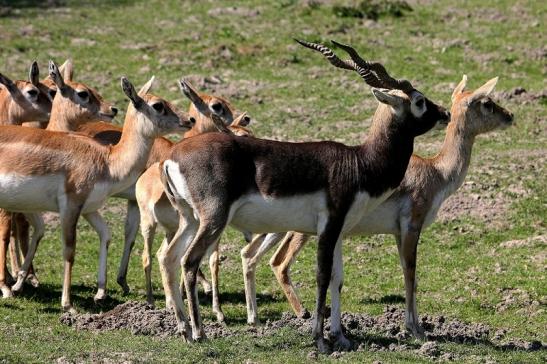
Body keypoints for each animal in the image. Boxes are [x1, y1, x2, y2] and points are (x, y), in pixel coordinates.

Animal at [0, 74, 194, 310]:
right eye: (158, 105)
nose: (189, 120)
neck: (107, 160)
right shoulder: (71, 207)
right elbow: (69, 251)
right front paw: (68, 304)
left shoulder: (89, 209)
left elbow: (107, 235)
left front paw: (100, 293)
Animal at [157, 39, 450, 350]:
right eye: (419, 100)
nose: (445, 113)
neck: (359, 163)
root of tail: (171, 157)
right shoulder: (328, 226)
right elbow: (322, 276)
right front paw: (319, 340)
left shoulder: (339, 230)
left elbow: (338, 279)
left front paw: (341, 337)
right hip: (213, 219)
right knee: (189, 261)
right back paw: (199, 333)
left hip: (189, 219)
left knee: (169, 258)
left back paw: (183, 328)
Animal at [241, 75, 520, 340]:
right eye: (487, 102)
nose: (510, 116)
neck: (436, 172)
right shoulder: (412, 226)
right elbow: (411, 273)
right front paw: (416, 330)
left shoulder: (397, 232)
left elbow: (408, 274)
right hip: (302, 232)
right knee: (279, 262)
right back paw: (301, 315)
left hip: (277, 228)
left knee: (249, 255)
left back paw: (255, 319)